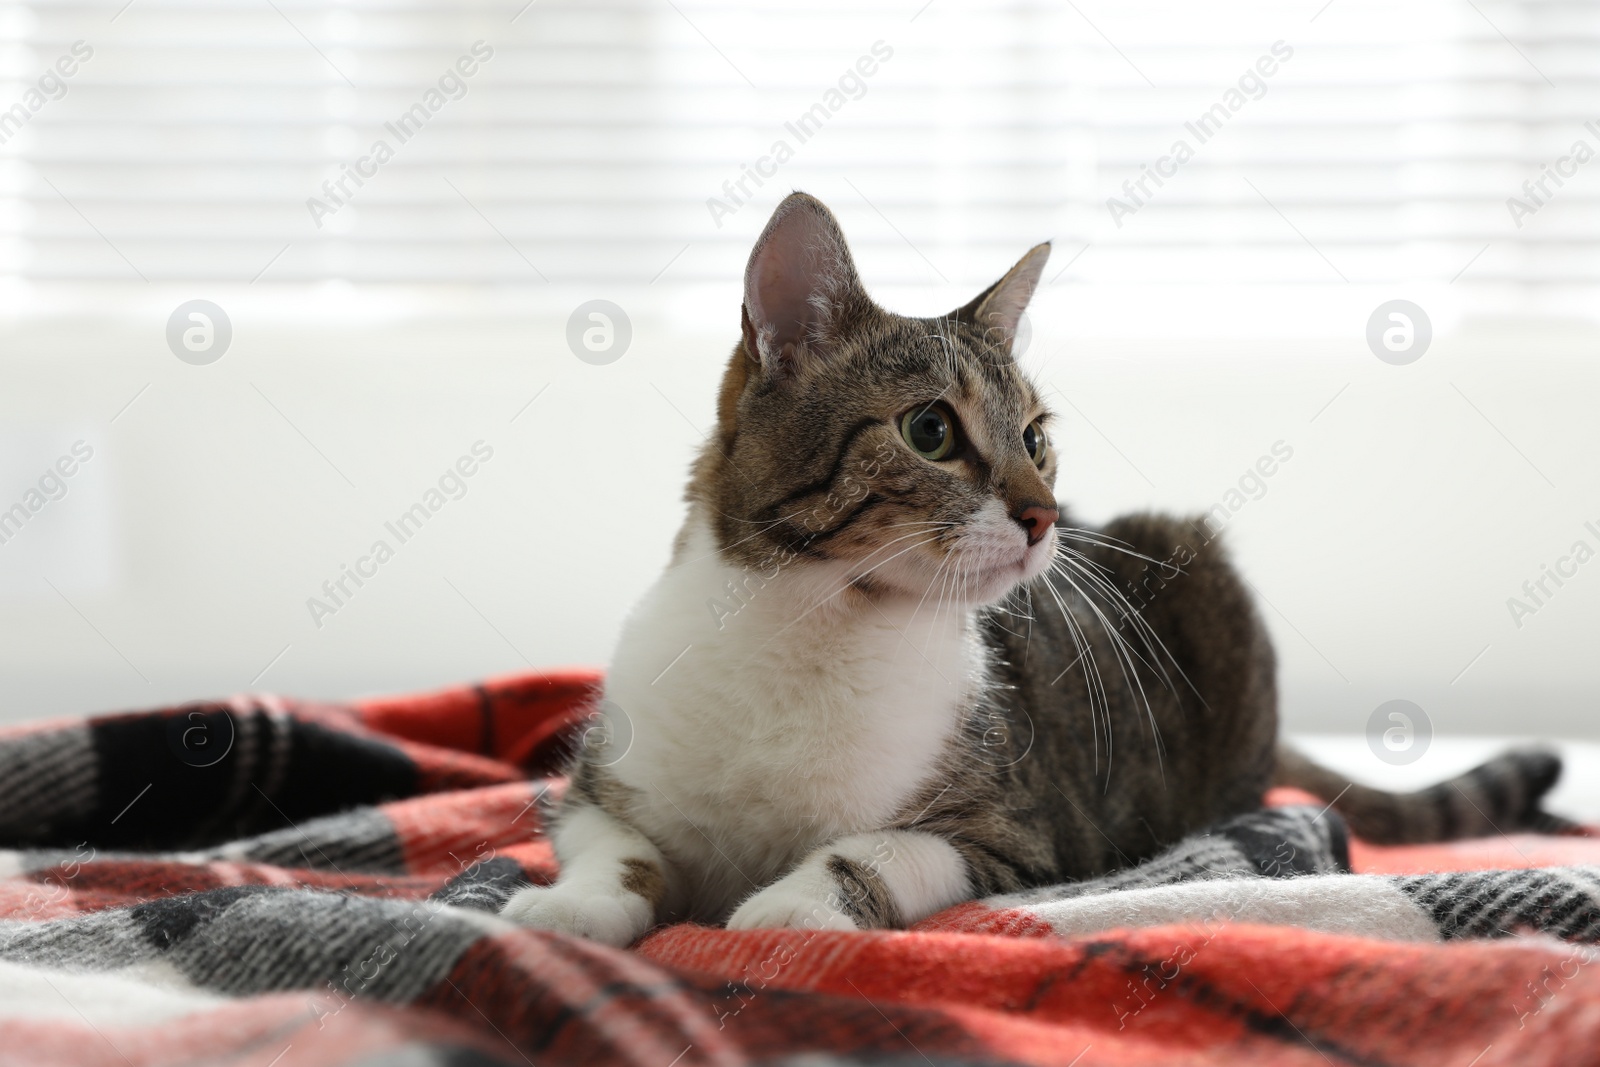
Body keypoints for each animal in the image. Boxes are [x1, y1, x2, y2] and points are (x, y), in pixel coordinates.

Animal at [505, 195, 1568, 947]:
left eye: (1035, 437)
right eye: (930, 430)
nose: (1045, 513)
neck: (814, 625)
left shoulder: (1019, 830)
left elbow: (884, 848)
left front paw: (794, 905)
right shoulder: (590, 786)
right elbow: (617, 850)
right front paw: (570, 907)